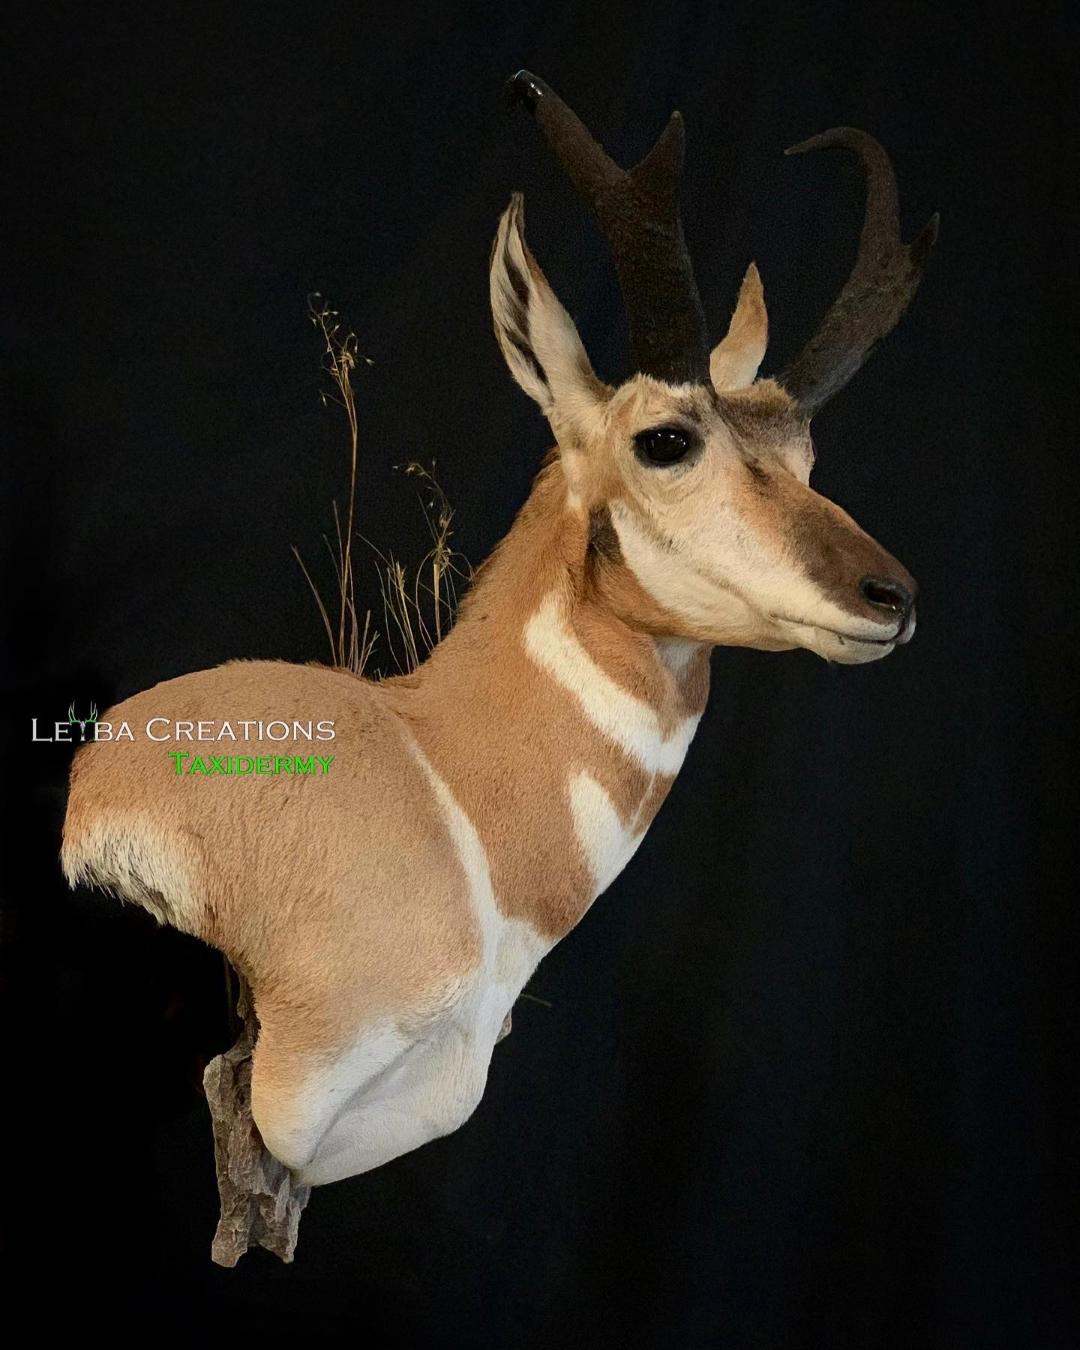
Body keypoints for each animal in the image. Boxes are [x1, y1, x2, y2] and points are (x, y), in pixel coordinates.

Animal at [61, 71, 936, 1239]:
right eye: (666, 440)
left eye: (804, 452)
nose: (891, 597)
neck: (449, 784)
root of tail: (95, 770)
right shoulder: (303, 1092)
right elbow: (303, 1123)